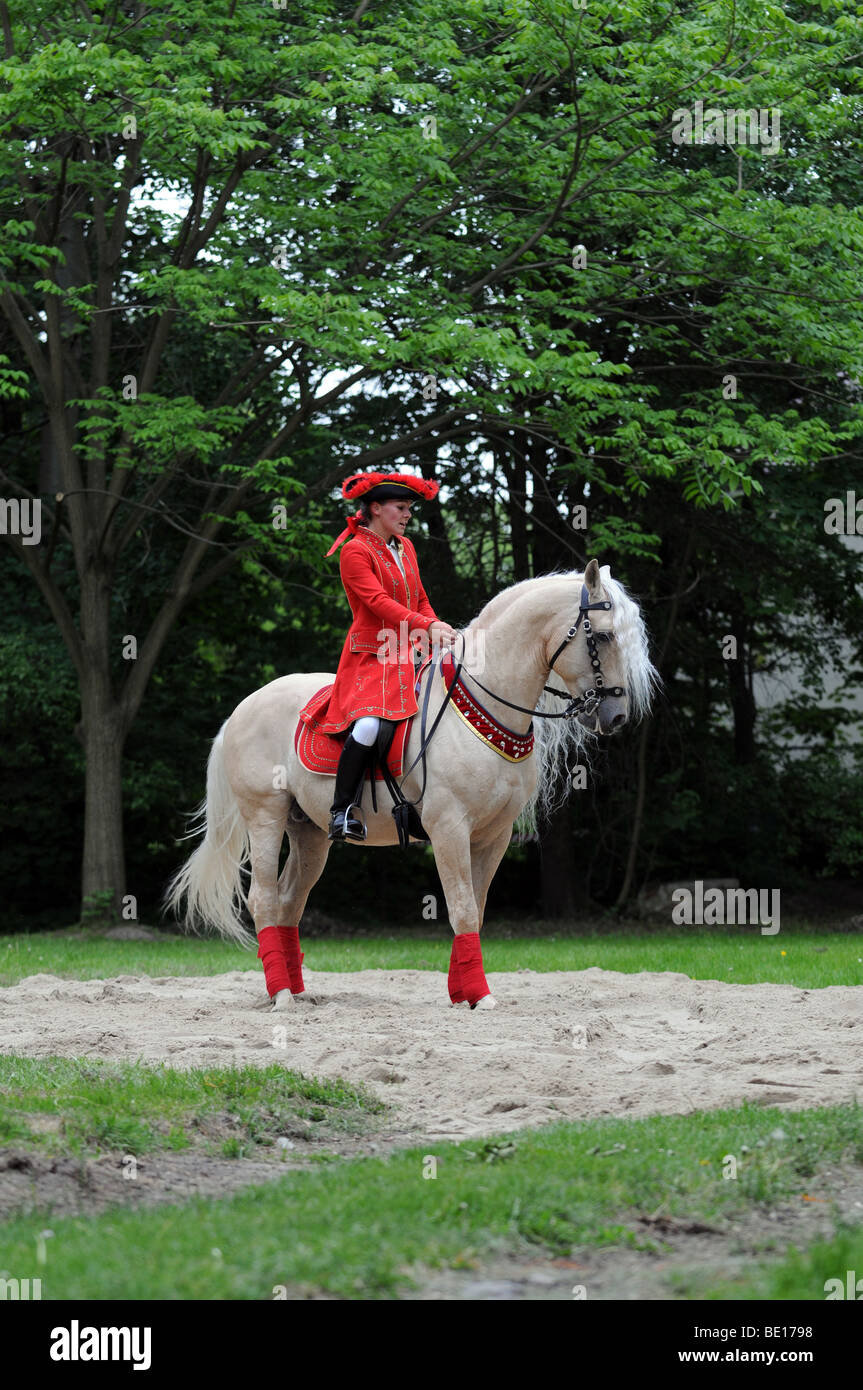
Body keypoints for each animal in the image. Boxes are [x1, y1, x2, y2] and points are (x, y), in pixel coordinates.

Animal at [166, 558, 653, 1006]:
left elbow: (475, 910)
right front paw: (479, 995)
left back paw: (297, 990)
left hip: (310, 832)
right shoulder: (449, 828)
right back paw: (281, 994)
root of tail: (242, 708)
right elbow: (462, 910)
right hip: (265, 817)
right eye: (603, 635)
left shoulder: (494, 836)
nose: (617, 715)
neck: (480, 707)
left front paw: (462, 992)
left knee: (289, 901)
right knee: (264, 900)